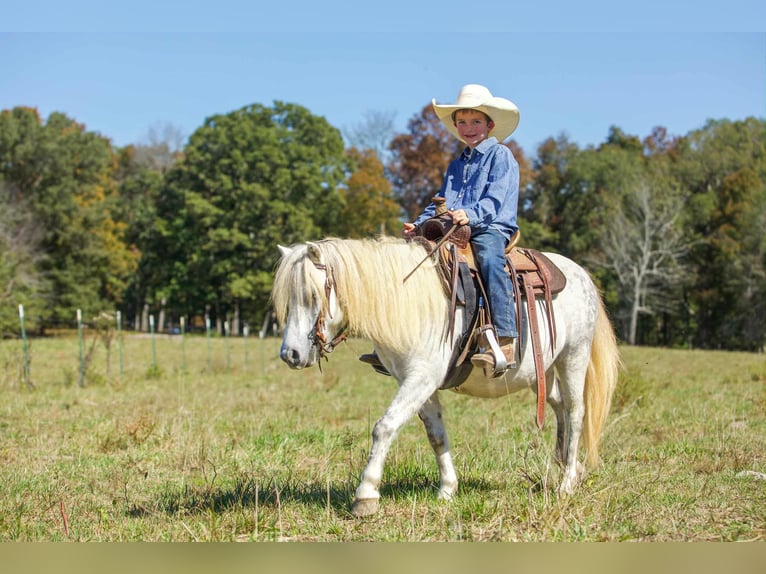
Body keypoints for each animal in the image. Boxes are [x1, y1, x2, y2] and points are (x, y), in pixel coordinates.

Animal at [272, 236, 620, 518]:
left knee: (575, 412)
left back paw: (567, 483)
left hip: (574, 357)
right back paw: (566, 465)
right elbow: (436, 436)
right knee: (559, 405)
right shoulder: (415, 382)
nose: (290, 354)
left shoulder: (421, 378)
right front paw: (448, 489)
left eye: (312, 296)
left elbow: (384, 427)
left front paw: (366, 495)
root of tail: (580, 274)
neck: (409, 302)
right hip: (540, 370)